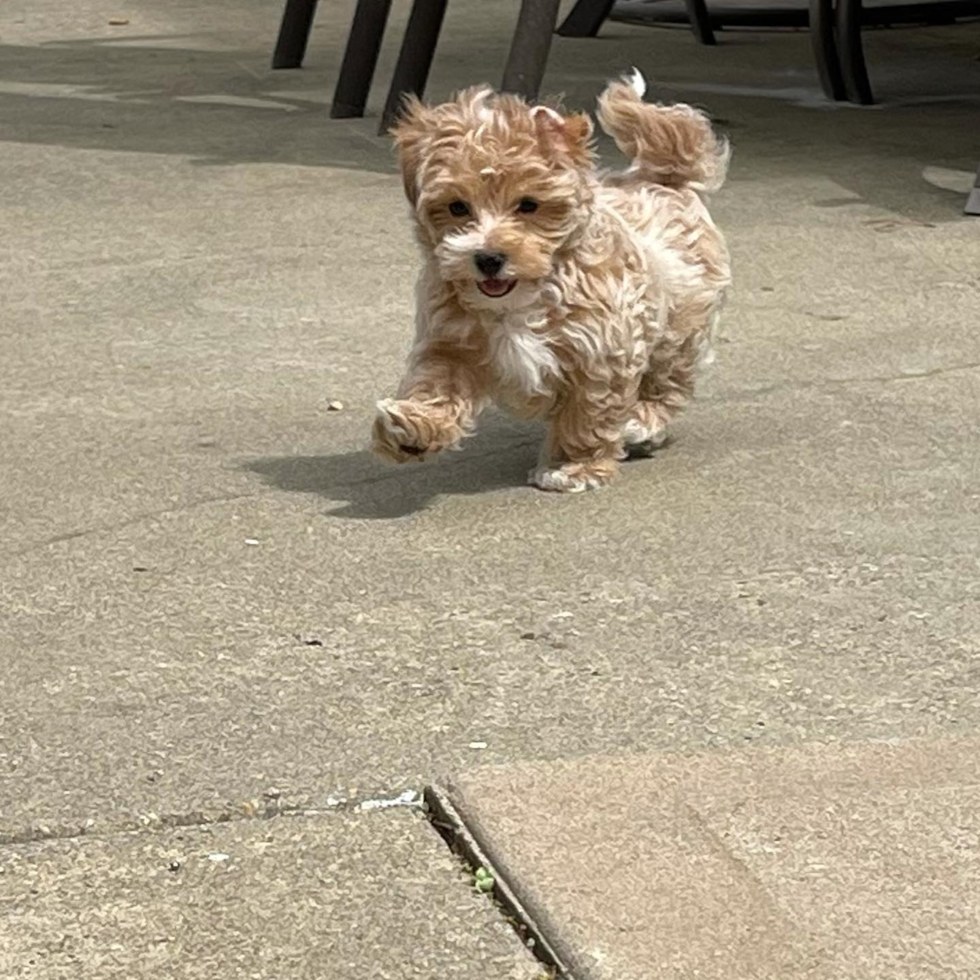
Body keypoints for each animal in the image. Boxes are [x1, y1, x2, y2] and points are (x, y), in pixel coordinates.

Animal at [372, 71, 732, 490]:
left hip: (681, 325)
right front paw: (415, 428)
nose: (488, 257)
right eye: (457, 207)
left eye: (529, 205)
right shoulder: (451, 341)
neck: (522, 299)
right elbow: (437, 383)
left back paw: (641, 420)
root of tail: (664, 179)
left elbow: (589, 414)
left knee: (667, 381)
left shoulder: (601, 354)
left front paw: (576, 466)